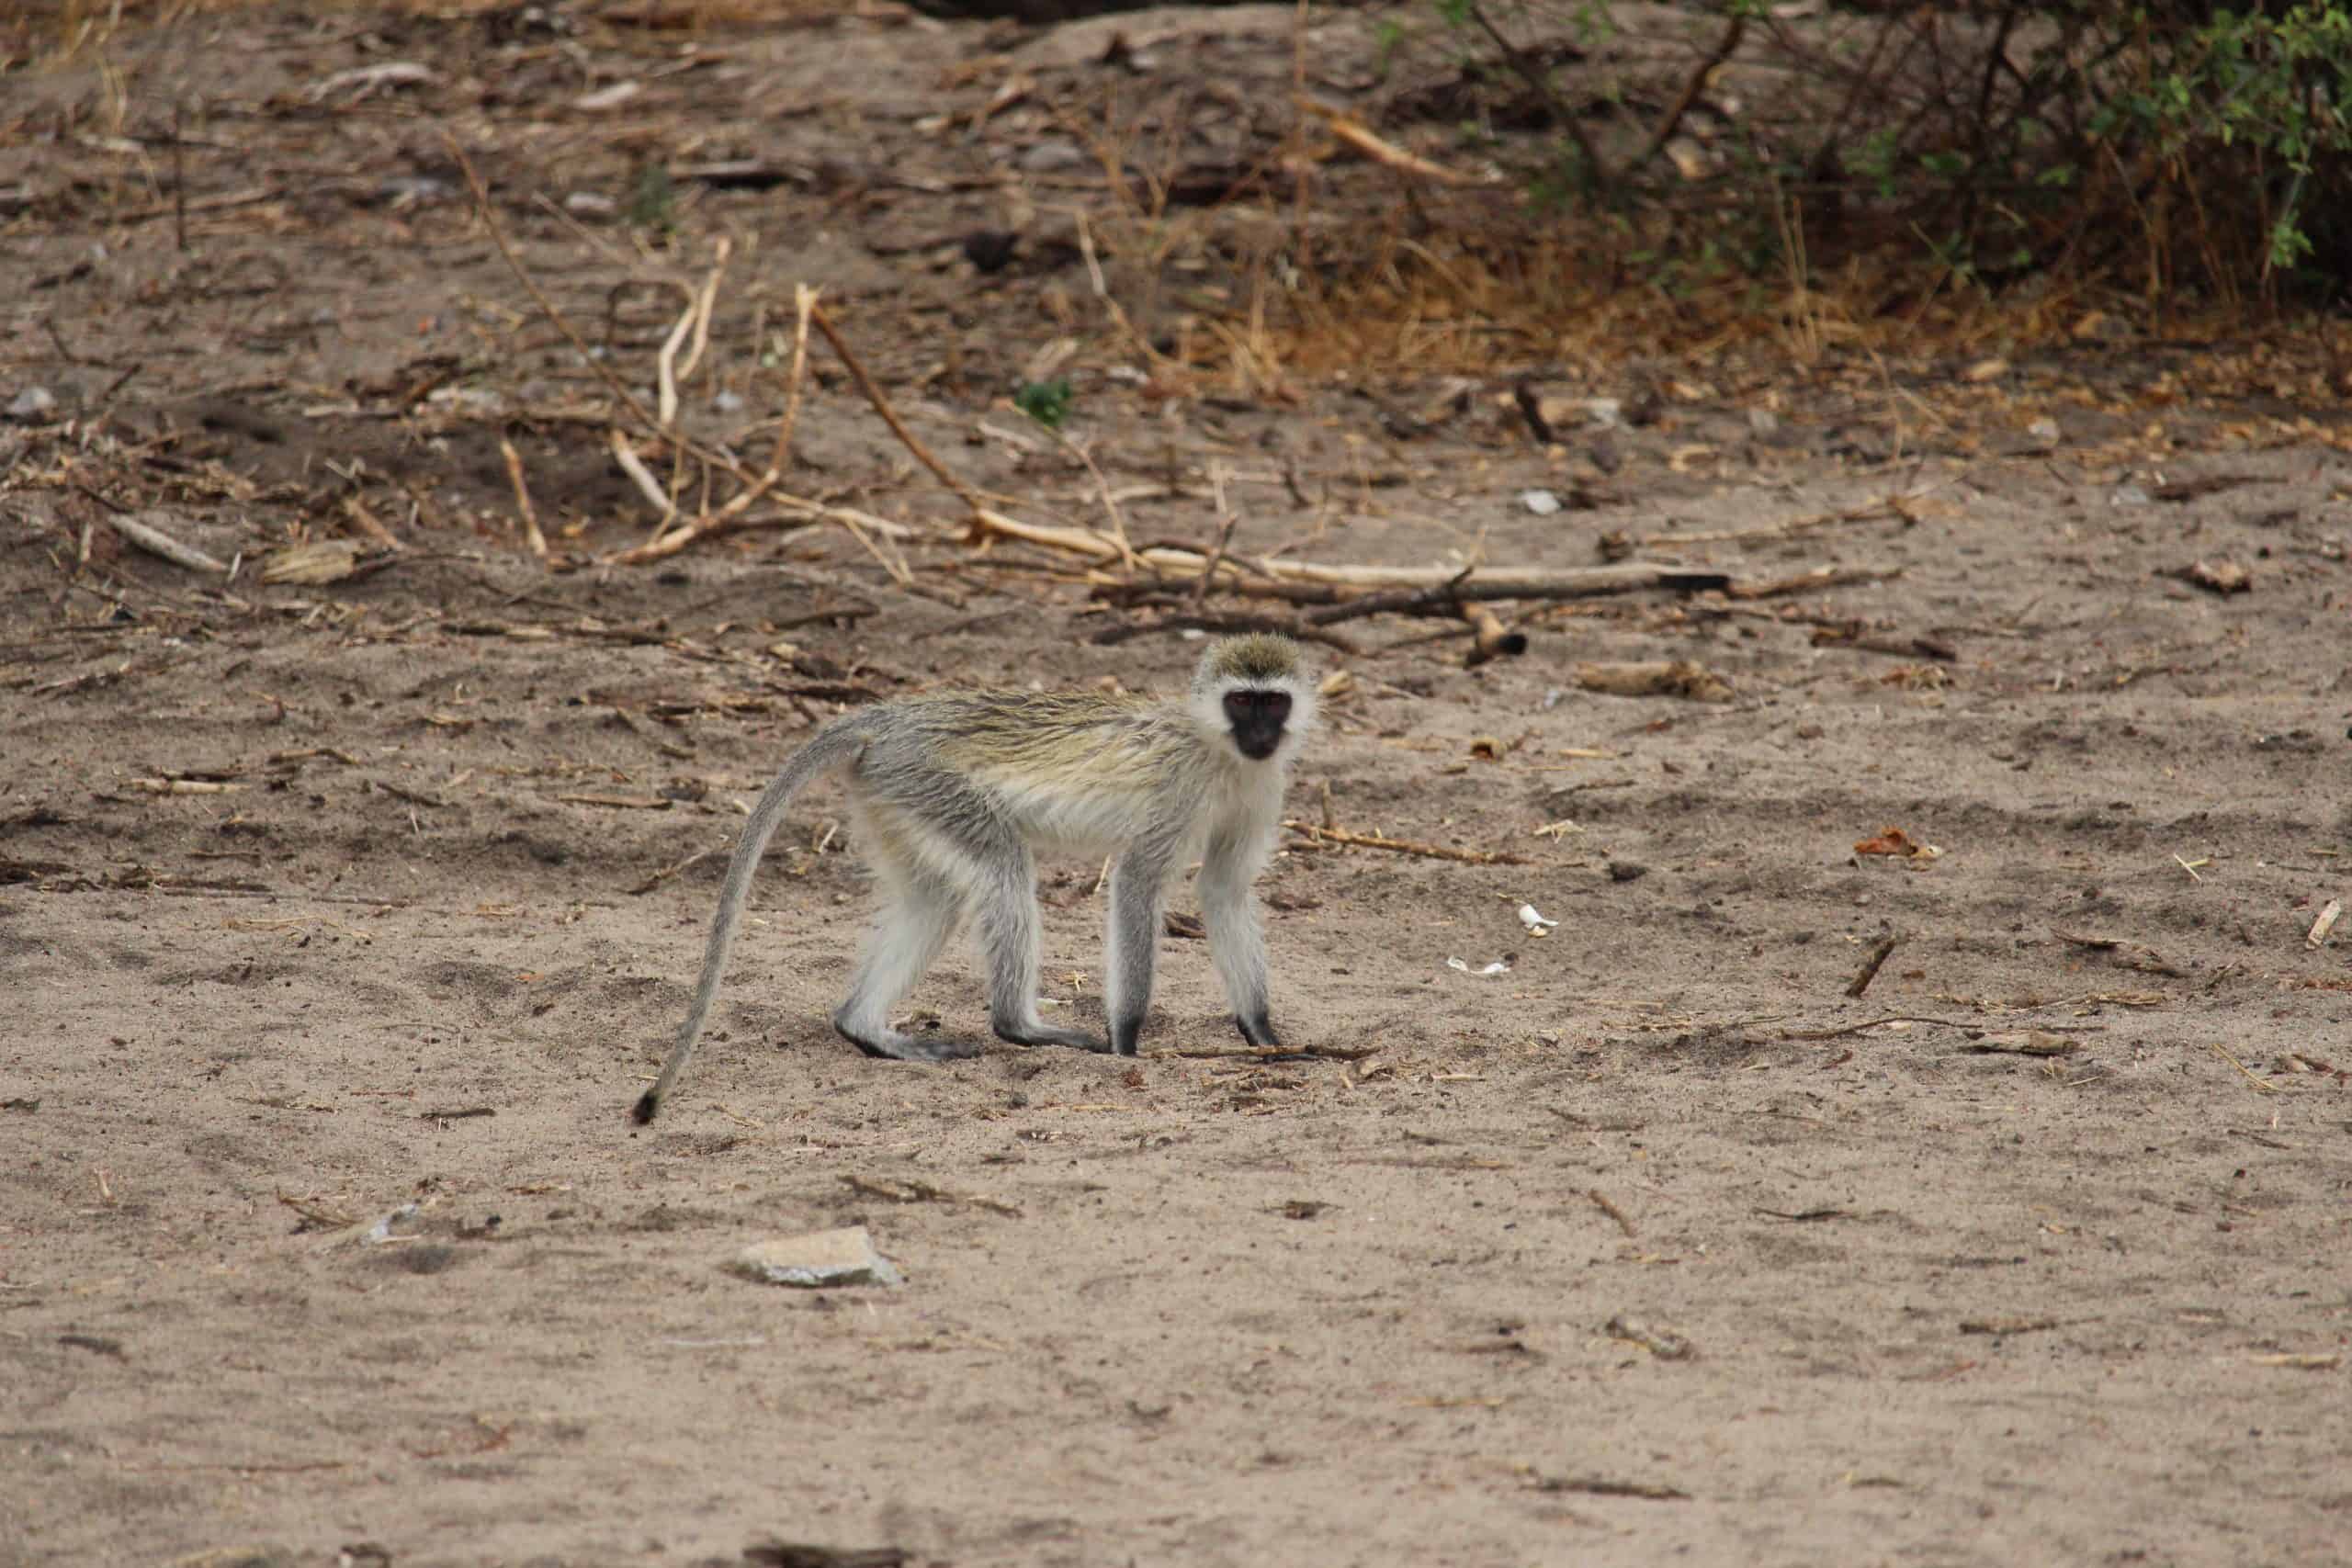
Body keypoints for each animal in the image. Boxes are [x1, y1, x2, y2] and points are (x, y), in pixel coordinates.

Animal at [630, 633, 1316, 1124]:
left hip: (894, 794)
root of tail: (891, 719)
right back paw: (1020, 1026)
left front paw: (1263, 1032)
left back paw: (866, 1028)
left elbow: (1223, 891)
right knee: (1002, 866)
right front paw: (1125, 1042)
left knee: (932, 899)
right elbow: (1138, 883)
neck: (1222, 753)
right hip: (928, 780)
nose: (1261, 734)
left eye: (1273, 701)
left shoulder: (1262, 789)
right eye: (1241, 700)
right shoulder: (1178, 790)